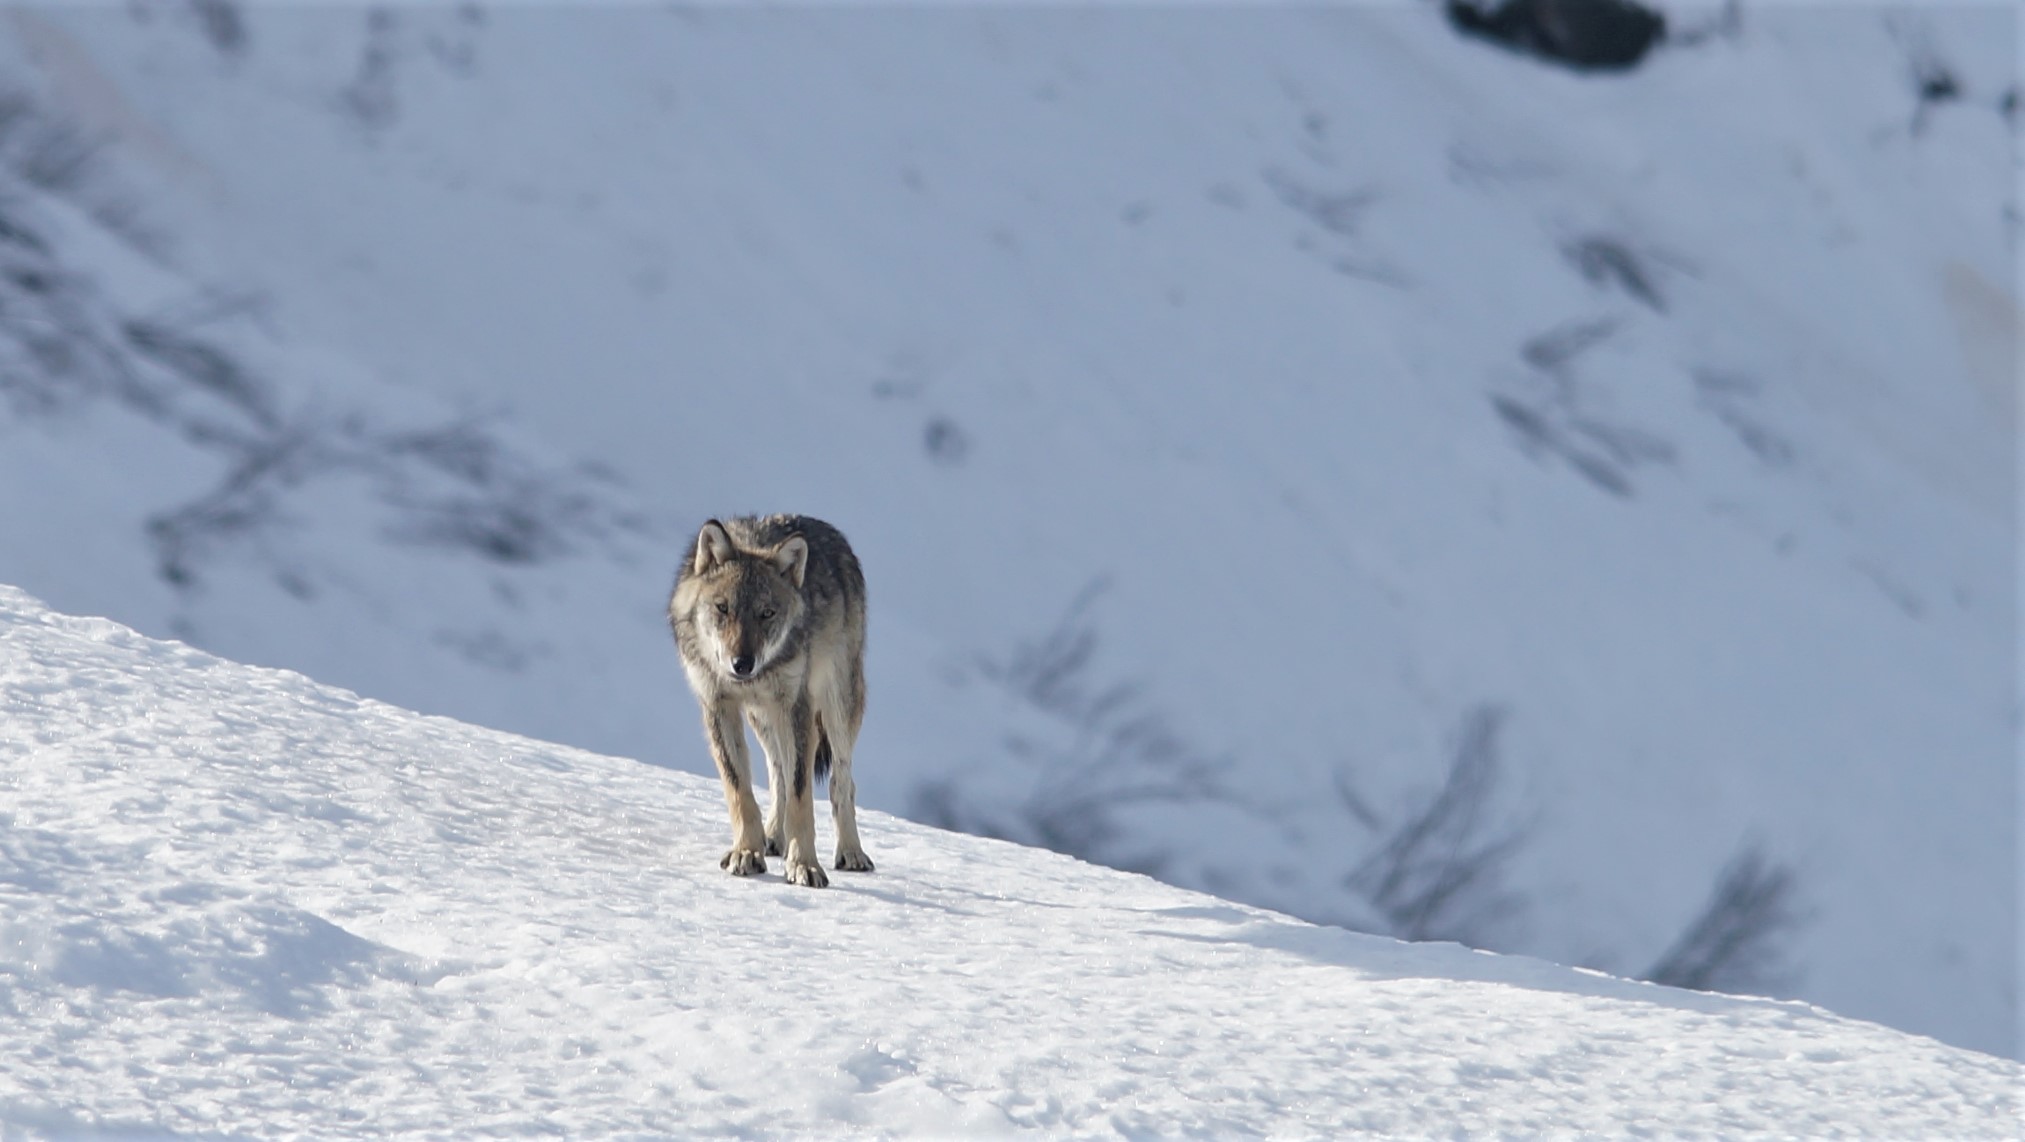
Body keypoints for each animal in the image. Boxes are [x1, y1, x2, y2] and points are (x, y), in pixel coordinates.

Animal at [668, 514, 871, 888]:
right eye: (723, 608)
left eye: (767, 613)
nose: (742, 664)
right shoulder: (718, 706)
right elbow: (740, 790)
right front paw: (747, 852)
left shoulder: (796, 707)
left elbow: (802, 795)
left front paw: (804, 865)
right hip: (762, 718)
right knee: (777, 771)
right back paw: (773, 837)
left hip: (836, 708)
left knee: (841, 782)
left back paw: (851, 853)